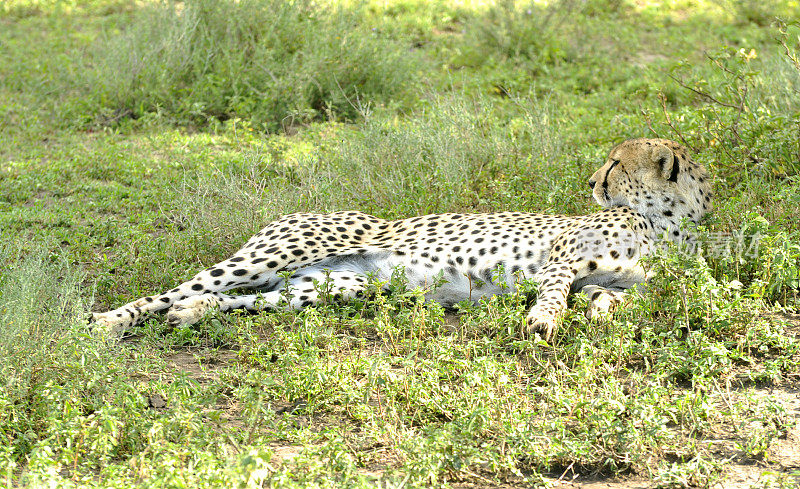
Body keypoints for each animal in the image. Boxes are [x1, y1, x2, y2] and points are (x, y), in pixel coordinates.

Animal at [94, 137, 712, 340]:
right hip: (285, 250)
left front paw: (602, 312)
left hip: (330, 287)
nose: (591, 181)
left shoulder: (622, 281)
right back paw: (105, 322)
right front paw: (542, 321)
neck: (667, 224)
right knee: (175, 289)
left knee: (237, 299)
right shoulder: (562, 257)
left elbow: (619, 296)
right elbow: (555, 291)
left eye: (615, 164)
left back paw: (193, 314)